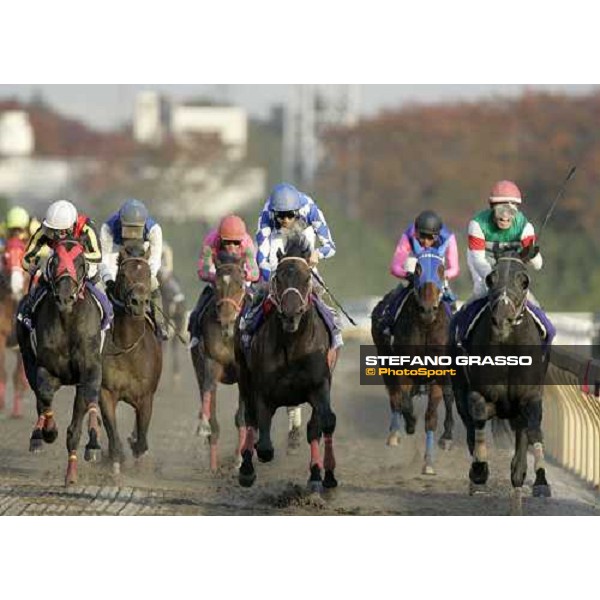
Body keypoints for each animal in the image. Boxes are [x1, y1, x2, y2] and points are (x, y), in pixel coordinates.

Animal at [16, 237, 103, 486]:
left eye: (81, 262)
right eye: (54, 260)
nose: (65, 297)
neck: (68, 320)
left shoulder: (89, 371)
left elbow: (81, 414)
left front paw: (76, 467)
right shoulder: (45, 368)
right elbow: (44, 396)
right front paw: (48, 431)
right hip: (28, 360)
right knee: (39, 397)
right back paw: (38, 436)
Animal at [101, 243, 163, 474]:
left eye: (148, 274)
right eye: (123, 274)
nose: (138, 302)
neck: (128, 349)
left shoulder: (146, 397)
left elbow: (142, 436)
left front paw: (141, 458)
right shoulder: (106, 391)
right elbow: (111, 430)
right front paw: (115, 462)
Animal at [192, 251, 248, 472]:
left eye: (240, 284)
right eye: (215, 285)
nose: (226, 320)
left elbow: (241, 417)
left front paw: (239, 459)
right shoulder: (210, 363)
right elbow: (209, 391)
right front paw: (203, 427)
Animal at [234, 234, 338, 492]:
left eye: (307, 277)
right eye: (278, 277)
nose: (291, 313)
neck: (292, 344)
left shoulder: (320, 385)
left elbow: (325, 423)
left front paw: (325, 475)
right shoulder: (262, 390)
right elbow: (263, 443)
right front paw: (249, 465)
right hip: (243, 375)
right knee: (249, 418)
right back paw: (246, 469)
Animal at [370, 251, 454, 476]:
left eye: (441, 269)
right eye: (417, 270)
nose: (427, 309)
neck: (425, 327)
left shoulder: (439, 373)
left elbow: (431, 416)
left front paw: (429, 463)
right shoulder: (402, 369)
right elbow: (404, 400)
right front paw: (409, 424)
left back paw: (447, 438)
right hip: (384, 359)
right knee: (394, 396)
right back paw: (395, 433)